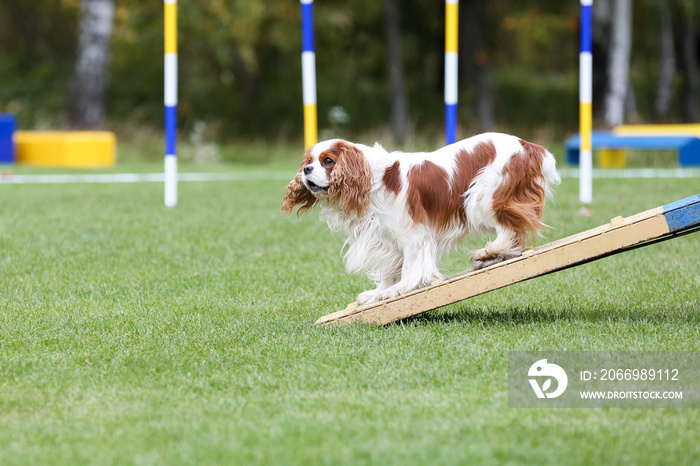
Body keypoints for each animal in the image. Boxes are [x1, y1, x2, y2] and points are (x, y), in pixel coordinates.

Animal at [282, 131, 560, 306]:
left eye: (328, 161)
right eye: (309, 161)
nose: (306, 169)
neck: (373, 179)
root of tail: (530, 146)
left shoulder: (412, 235)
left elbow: (409, 268)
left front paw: (399, 290)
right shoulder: (387, 239)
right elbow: (389, 271)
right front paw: (379, 293)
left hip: (481, 197)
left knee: (509, 228)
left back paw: (487, 252)